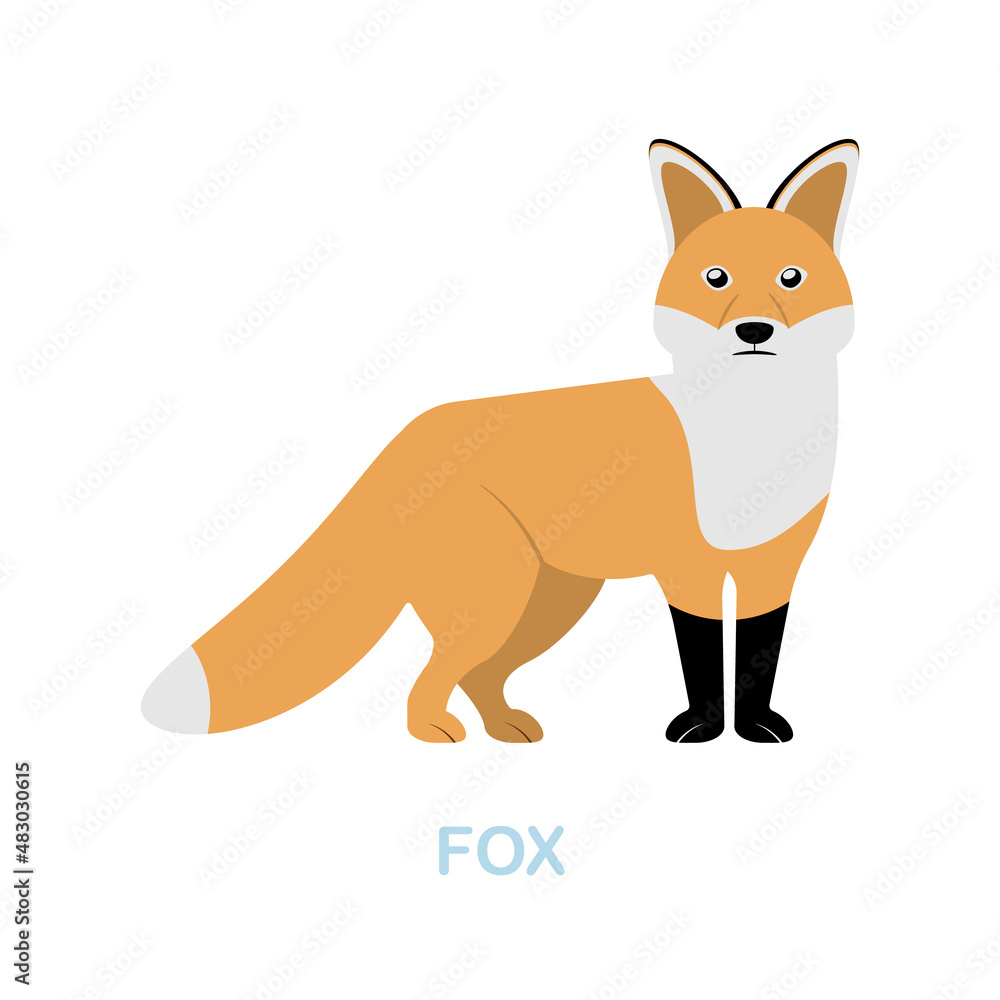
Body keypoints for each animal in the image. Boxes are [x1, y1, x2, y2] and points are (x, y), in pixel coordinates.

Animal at [143, 138, 858, 744]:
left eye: (792, 278)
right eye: (715, 279)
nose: (754, 330)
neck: (751, 441)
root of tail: (408, 432)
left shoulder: (775, 566)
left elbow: (758, 655)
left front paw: (756, 728)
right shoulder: (688, 570)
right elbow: (705, 657)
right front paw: (704, 729)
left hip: (547, 605)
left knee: (479, 676)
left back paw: (506, 728)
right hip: (496, 603)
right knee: (436, 674)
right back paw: (433, 732)